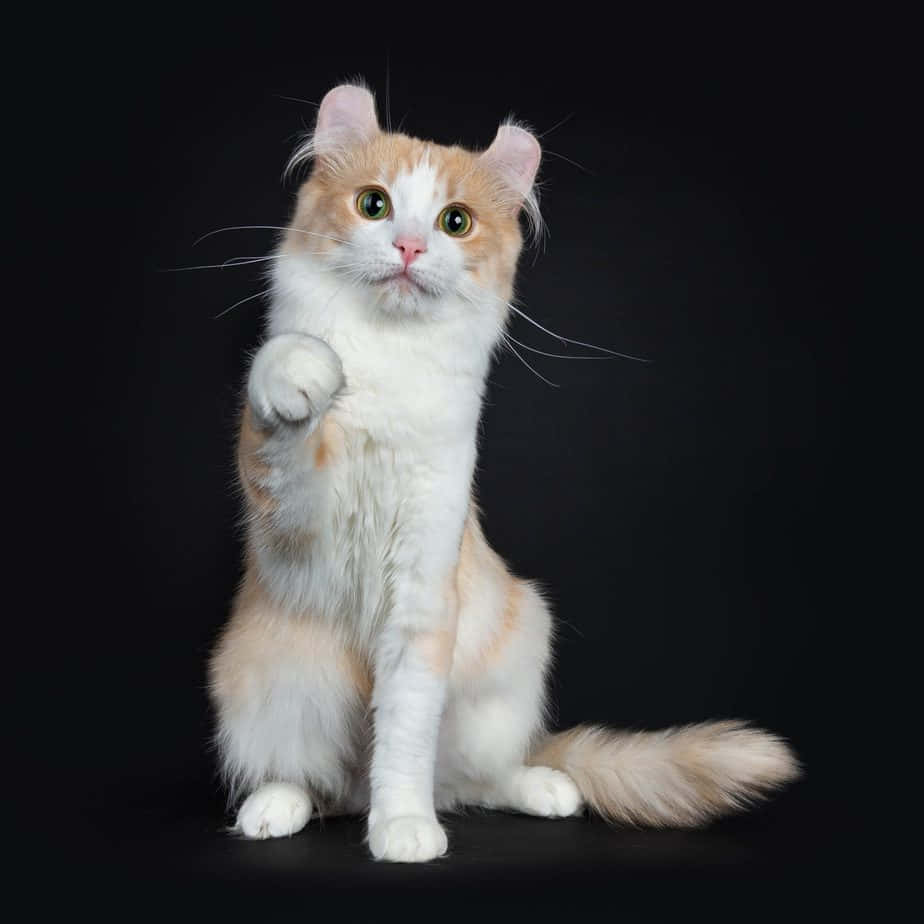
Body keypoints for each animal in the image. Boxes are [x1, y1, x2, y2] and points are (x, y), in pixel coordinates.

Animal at [206, 83, 796, 864]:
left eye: (454, 222)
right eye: (374, 205)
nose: (409, 246)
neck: (391, 364)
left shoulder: (424, 595)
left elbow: (404, 741)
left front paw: (402, 828)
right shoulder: (296, 526)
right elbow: (280, 424)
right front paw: (301, 372)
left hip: (515, 647)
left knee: (470, 781)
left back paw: (544, 788)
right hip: (269, 684)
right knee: (310, 779)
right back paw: (273, 809)